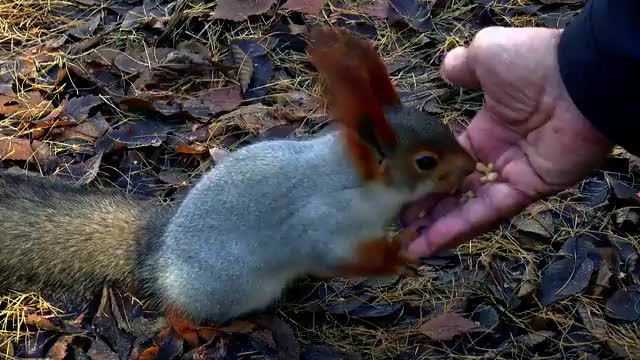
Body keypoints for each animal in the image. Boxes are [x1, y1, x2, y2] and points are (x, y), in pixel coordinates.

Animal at [0, 27, 476, 344]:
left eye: (442, 129)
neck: (357, 182)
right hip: (226, 287)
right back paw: (196, 326)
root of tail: (157, 256)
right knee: (177, 309)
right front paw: (396, 257)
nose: (472, 167)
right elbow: (334, 255)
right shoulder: (322, 223)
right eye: (425, 162)